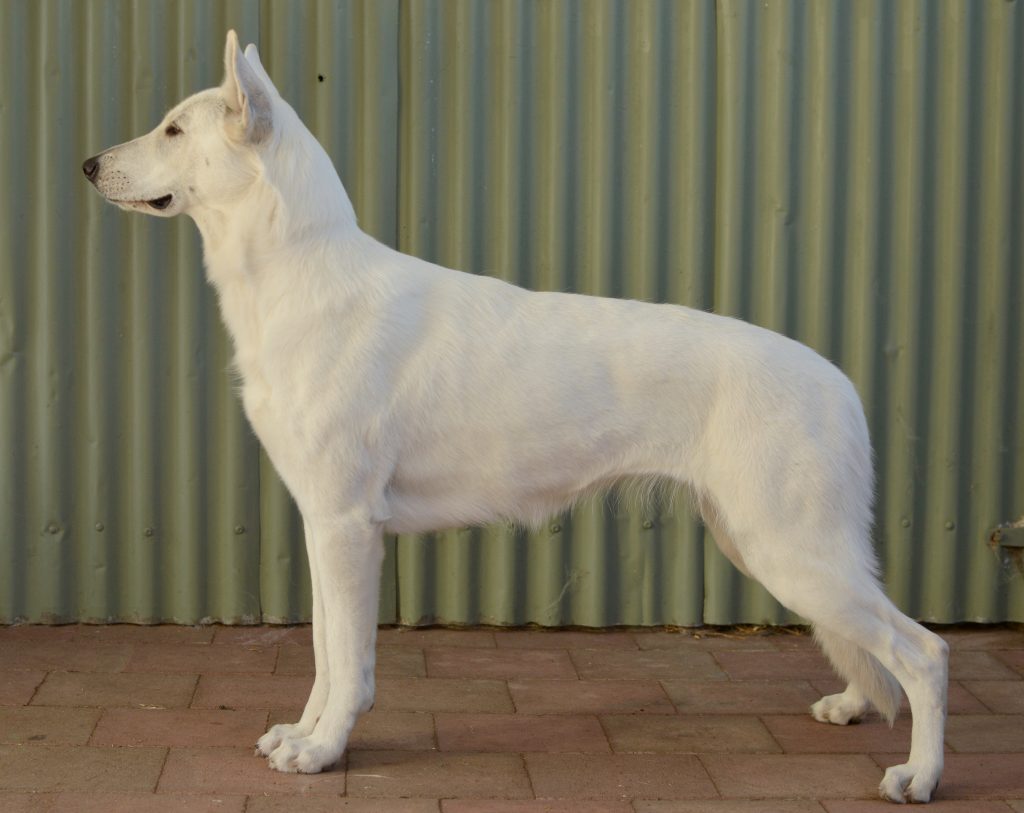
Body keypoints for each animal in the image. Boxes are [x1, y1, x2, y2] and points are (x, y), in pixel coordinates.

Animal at [83, 30, 948, 803]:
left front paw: (325, 751)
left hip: (791, 548)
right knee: (879, 648)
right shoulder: (323, 523)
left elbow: (350, 662)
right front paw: (304, 733)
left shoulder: (346, 526)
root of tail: (842, 382)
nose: (87, 165)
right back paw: (857, 706)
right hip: (765, 541)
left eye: (174, 129)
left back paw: (920, 775)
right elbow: (326, 651)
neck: (300, 274)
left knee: (925, 651)